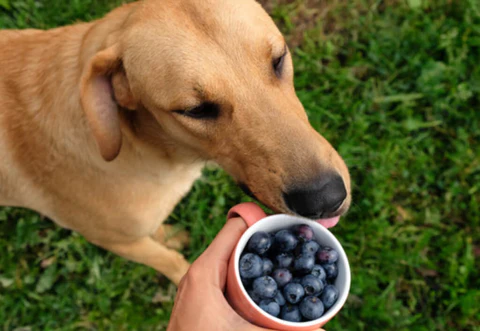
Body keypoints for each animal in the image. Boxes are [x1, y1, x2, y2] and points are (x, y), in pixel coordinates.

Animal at [0, 0, 352, 286]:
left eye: (278, 60)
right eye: (196, 110)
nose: (325, 198)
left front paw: (167, 235)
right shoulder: (116, 241)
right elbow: (170, 262)